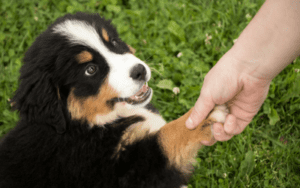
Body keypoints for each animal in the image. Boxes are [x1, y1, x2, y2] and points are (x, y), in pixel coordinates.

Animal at [0, 12, 227, 187]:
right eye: (90, 70)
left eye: (114, 42)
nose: (139, 71)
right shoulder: (127, 171)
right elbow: (166, 137)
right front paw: (205, 117)